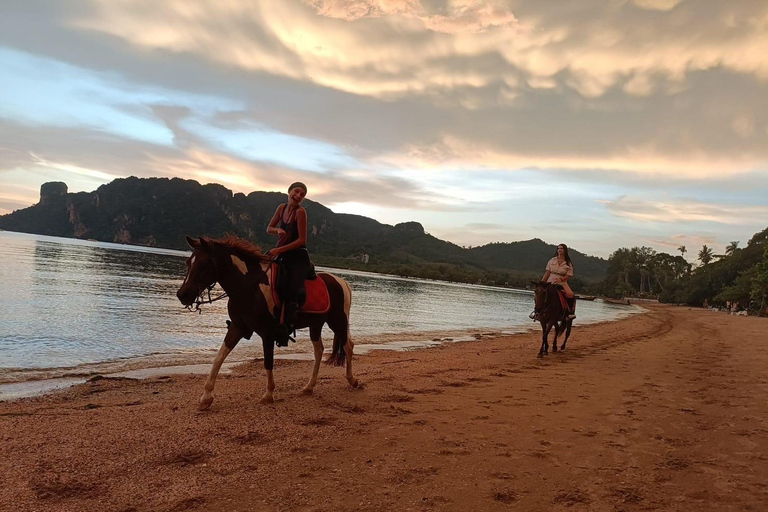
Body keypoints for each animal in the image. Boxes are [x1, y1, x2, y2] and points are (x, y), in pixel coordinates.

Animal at [177, 235, 360, 408]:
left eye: (203, 264)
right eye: (187, 262)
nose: (182, 295)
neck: (249, 286)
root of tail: (342, 282)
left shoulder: (267, 333)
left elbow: (268, 362)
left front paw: (269, 394)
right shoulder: (237, 327)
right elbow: (219, 358)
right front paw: (206, 398)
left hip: (338, 321)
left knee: (348, 346)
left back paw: (352, 380)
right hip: (316, 324)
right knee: (319, 350)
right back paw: (309, 386)